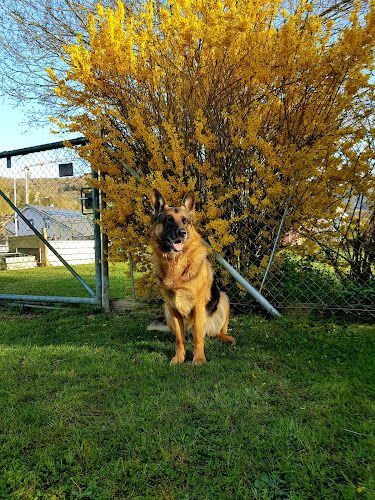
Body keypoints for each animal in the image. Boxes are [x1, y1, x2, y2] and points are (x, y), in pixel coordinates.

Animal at [151, 189, 235, 366]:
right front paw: (179, 357)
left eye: (185, 221)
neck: (176, 262)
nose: (182, 233)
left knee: (214, 332)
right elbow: (179, 338)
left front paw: (199, 358)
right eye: (169, 220)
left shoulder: (198, 305)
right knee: (186, 335)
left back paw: (225, 337)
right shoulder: (172, 306)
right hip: (166, 310)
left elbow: (198, 337)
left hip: (224, 300)